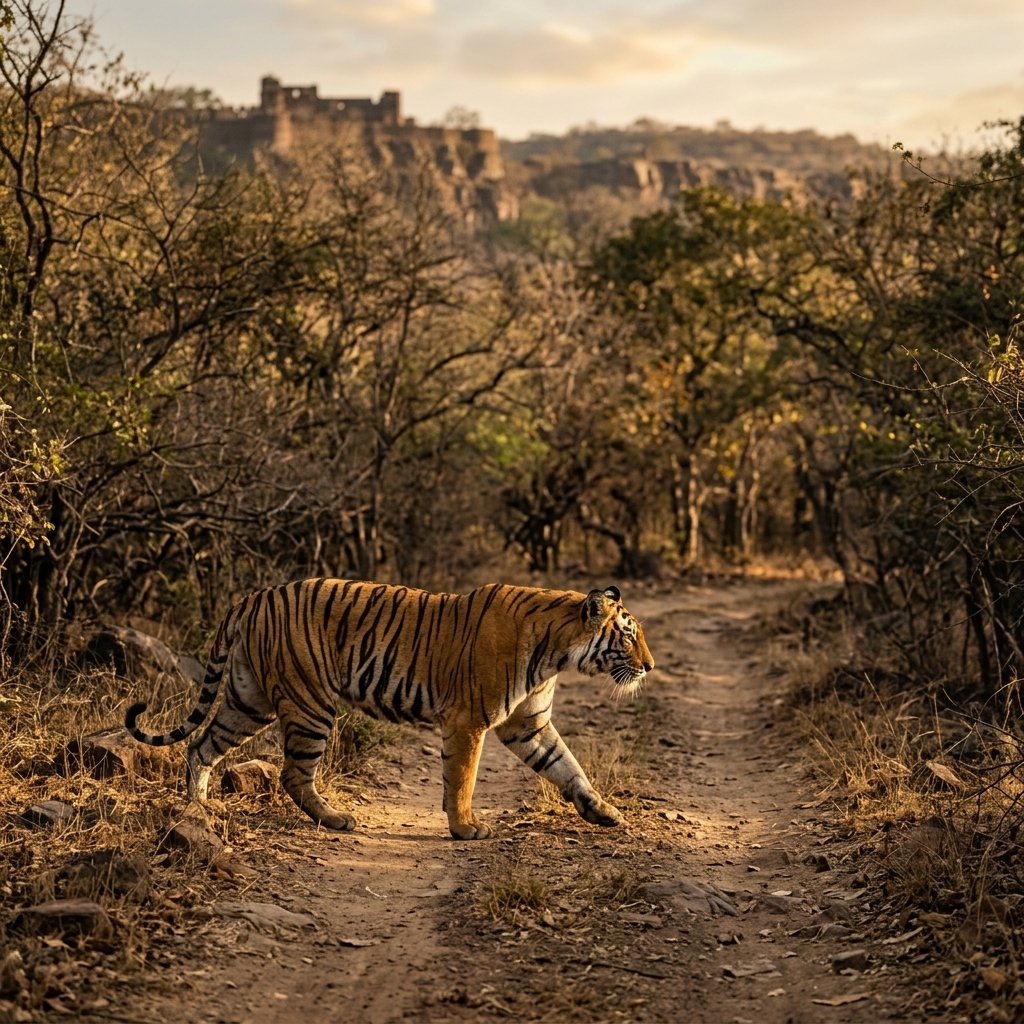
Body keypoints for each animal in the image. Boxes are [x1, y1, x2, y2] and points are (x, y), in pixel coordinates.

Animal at [125, 578, 654, 839]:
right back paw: (336, 819)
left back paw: (197, 810)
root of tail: (253, 598)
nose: (650, 666)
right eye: (628, 636)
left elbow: (569, 768)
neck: (558, 653)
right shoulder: (469, 720)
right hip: (310, 703)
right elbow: (461, 778)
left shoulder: (530, 725)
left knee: (201, 745)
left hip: (247, 700)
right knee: (292, 774)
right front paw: (465, 828)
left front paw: (605, 813)